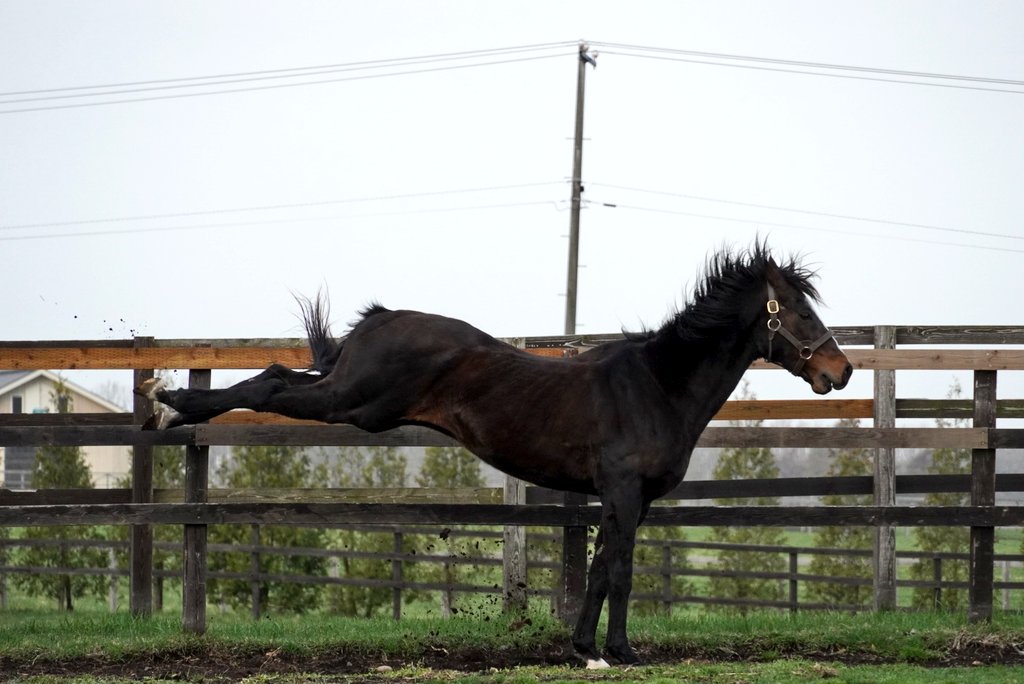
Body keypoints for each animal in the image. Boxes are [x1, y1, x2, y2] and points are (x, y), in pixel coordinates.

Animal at [137, 243, 852, 668]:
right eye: (794, 310)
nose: (839, 371)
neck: (655, 386)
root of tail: (383, 318)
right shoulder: (622, 492)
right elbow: (617, 572)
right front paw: (613, 652)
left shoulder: (627, 499)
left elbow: (602, 569)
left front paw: (589, 649)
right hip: (354, 404)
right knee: (269, 384)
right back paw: (168, 404)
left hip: (350, 398)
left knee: (277, 374)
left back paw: (165, 403)